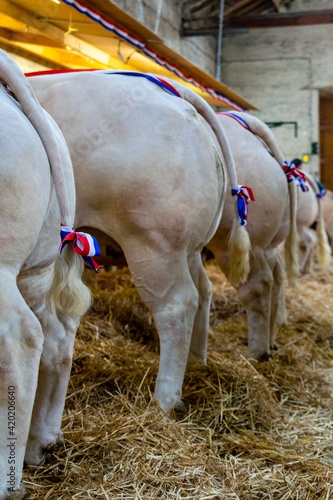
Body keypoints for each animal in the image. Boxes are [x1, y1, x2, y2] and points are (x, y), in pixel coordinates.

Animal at [29, 71, 250, 414]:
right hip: (187, 248)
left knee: (178, 305)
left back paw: (165, 401)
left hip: (154, 243)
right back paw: (197, 364)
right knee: (203, 291)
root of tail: (176, 95)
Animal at [204, 113, 296, 362]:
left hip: (236, 241)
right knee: (276, 276)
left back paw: (258, 353)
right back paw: (271, 342)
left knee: (258, 284)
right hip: (267, 243)